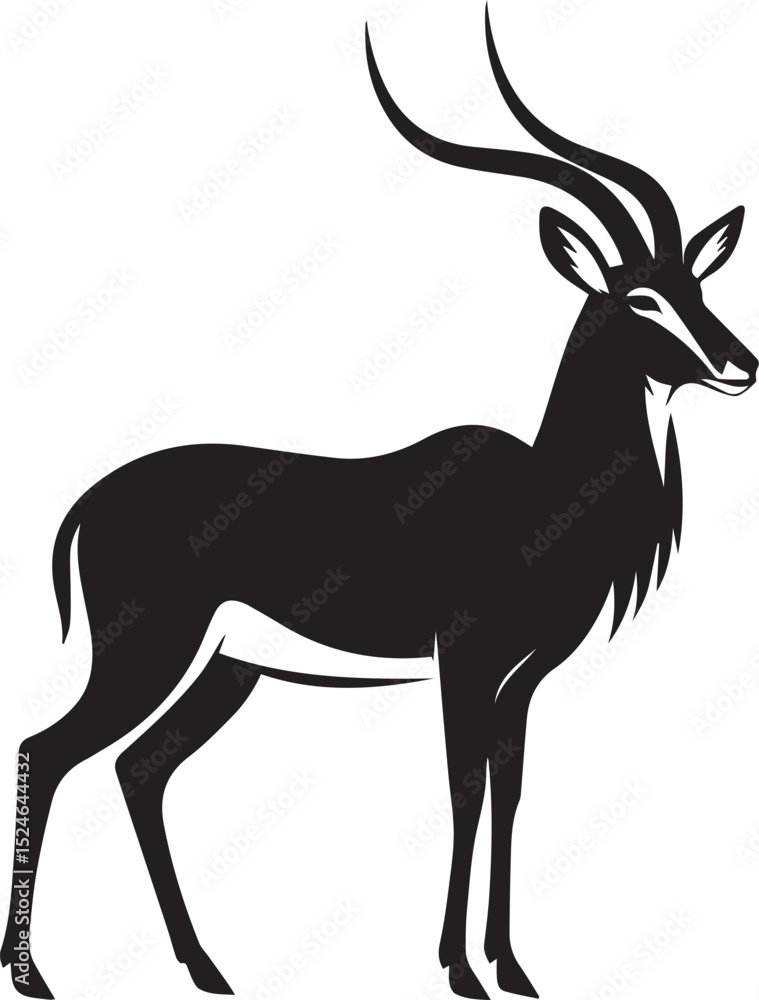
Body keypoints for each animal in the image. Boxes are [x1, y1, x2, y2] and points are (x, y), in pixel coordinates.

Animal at [2, 7, 756, 1000]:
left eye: (695, 284)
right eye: (639, 296)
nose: (741, 364)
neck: (546, 495)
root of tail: (90, 502)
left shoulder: (520, 679)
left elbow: (510, 790)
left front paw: (514, 969)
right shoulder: (465, 660)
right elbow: (463, 791)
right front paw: (460, 971)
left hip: (227, 670)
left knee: (138, 769)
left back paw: (208, 968)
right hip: (149, 651)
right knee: (47, 751)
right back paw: (35, 975)